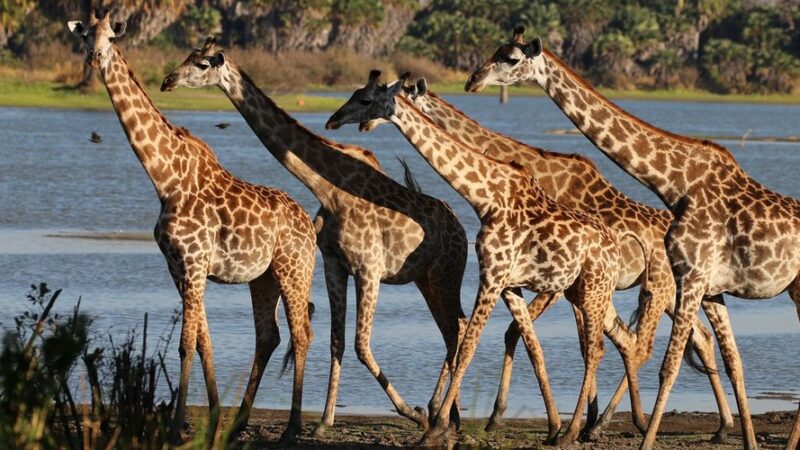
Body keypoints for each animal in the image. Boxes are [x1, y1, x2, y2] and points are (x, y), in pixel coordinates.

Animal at [67, 11, 316, 444]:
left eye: (111, 37)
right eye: (85, 36)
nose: (95, 58)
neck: (164, 178)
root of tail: (312, 228)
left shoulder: (195, 261)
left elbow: (185, 343)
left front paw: (174, 425)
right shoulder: (177, 265)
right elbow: (202, 341)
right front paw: (212, 415)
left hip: (293, 268)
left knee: (301, 334)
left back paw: (291, 429)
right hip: (262, 277)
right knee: (269, 336)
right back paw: (239, 423)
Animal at [160, 38, 469, 435]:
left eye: (201, 64)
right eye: (188, 56)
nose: (167, 80)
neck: (330, 190)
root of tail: (460, 227)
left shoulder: (369, 269)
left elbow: (361, 344)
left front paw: (410, 412)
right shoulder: (335, 265)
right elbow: (338, 341)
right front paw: (323, 421)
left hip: (446, 273)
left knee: (456, 329)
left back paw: (438, 415)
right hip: (426, 279)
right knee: (453, 329)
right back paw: (449, 416)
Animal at [326, 71, 644, 446]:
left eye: (365, 100)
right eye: (354, 94)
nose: (333, 120)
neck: (486, 198)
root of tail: (615, 247)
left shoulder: (492, 275)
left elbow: (467, 346)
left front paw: (435, 427)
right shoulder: (509, 284)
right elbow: (532, 346)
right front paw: (550, 425)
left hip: (593, 289)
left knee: (595, 349)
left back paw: (576, 433)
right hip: (584, 291)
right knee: (616, 341)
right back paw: (608, 425)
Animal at [362, 80, 733, 440]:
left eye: (393, 95)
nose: (364, 123)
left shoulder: (549, 285)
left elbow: (522, 335)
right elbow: (522, 335)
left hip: (652, 289)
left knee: (646, 344)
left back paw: (617, 422)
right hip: (669, 294)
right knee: (697, 338)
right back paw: (718, 424)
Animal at [466, 25, 800, 450]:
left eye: (510, 59)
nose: (472, 81)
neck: (676, 185)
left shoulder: (690, 277)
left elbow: (668, 365)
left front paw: (640, 437)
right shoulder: (710, 288)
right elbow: (732, 360)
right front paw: (749, 442)